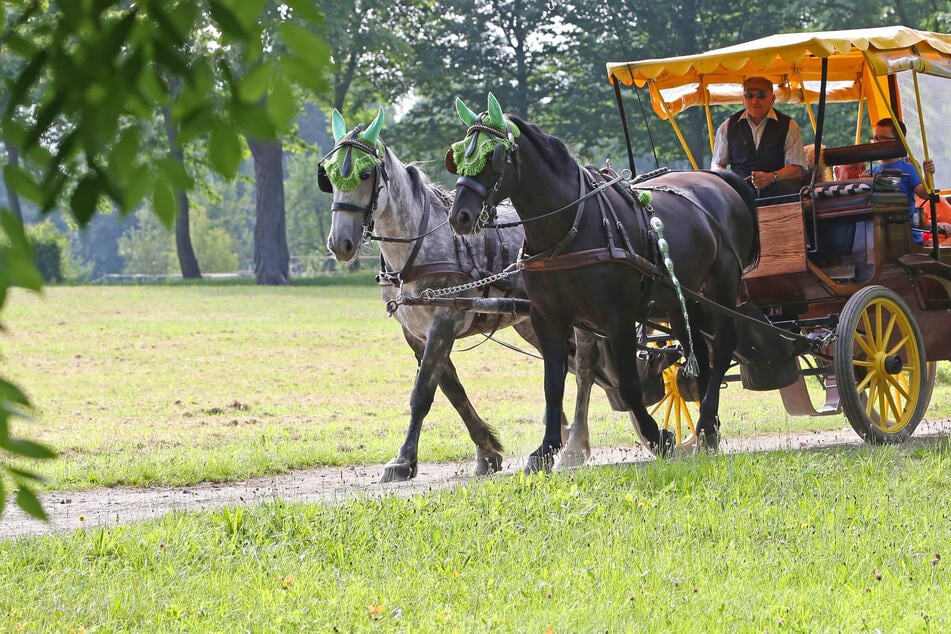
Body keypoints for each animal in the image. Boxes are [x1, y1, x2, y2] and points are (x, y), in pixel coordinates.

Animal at [444, 92, 760, 470]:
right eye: (458, 155)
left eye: (493, 156)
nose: (459, 216)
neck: (569, 230)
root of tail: (720, 180)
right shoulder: (547, 317)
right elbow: (553, 385)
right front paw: (546, 449)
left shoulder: (618, 318)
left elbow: (628, 383)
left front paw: (658, 438)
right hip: (682, 299)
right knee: (698, 352)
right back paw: (705, 426)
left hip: (721, 285)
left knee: (722, 346)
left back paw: (707, 424)